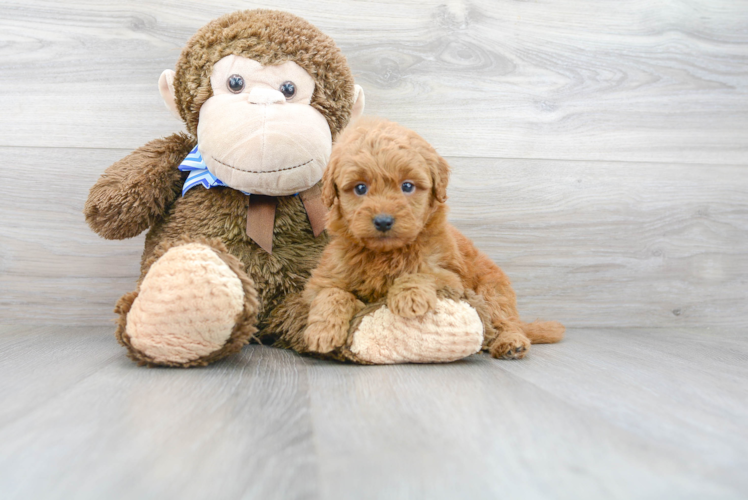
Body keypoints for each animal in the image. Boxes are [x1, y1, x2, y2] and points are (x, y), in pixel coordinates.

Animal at [300, 117, 564, 360]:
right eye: (360, 188)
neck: (385, 254)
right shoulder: (324, 279)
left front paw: (409, 296)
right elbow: (331, 293)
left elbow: (422, 272)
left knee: (506, 320)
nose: (383, 221)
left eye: (407, 186)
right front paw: (322, 332)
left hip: (492, 291)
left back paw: (511, 343)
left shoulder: (451, 277)